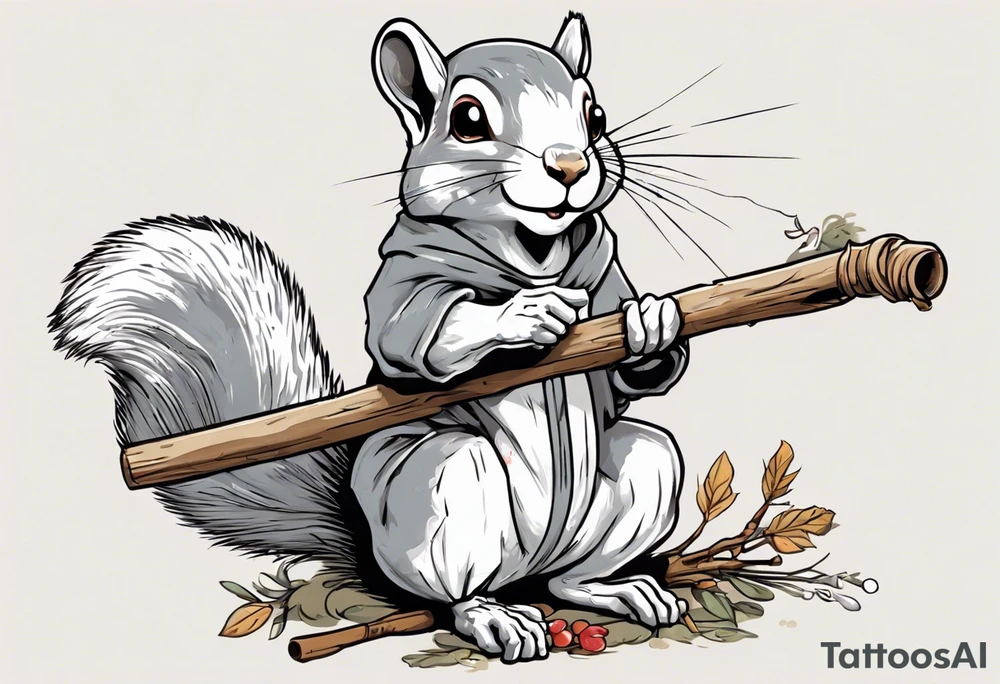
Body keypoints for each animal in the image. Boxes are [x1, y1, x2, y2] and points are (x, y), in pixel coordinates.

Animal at [50, 13, 693, 663]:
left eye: (595, 115)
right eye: (468, 120)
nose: (569, 166)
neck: (533, 249)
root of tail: (525, 572)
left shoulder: (604, 275)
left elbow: (621, 369)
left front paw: (651, 322)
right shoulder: (405, 275)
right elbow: (413, 333)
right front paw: (525, 313)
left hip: (644, 475)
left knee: (577, 565)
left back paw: (612, 588)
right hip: (438, 490)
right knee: (455, 590)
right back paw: (492, 617)